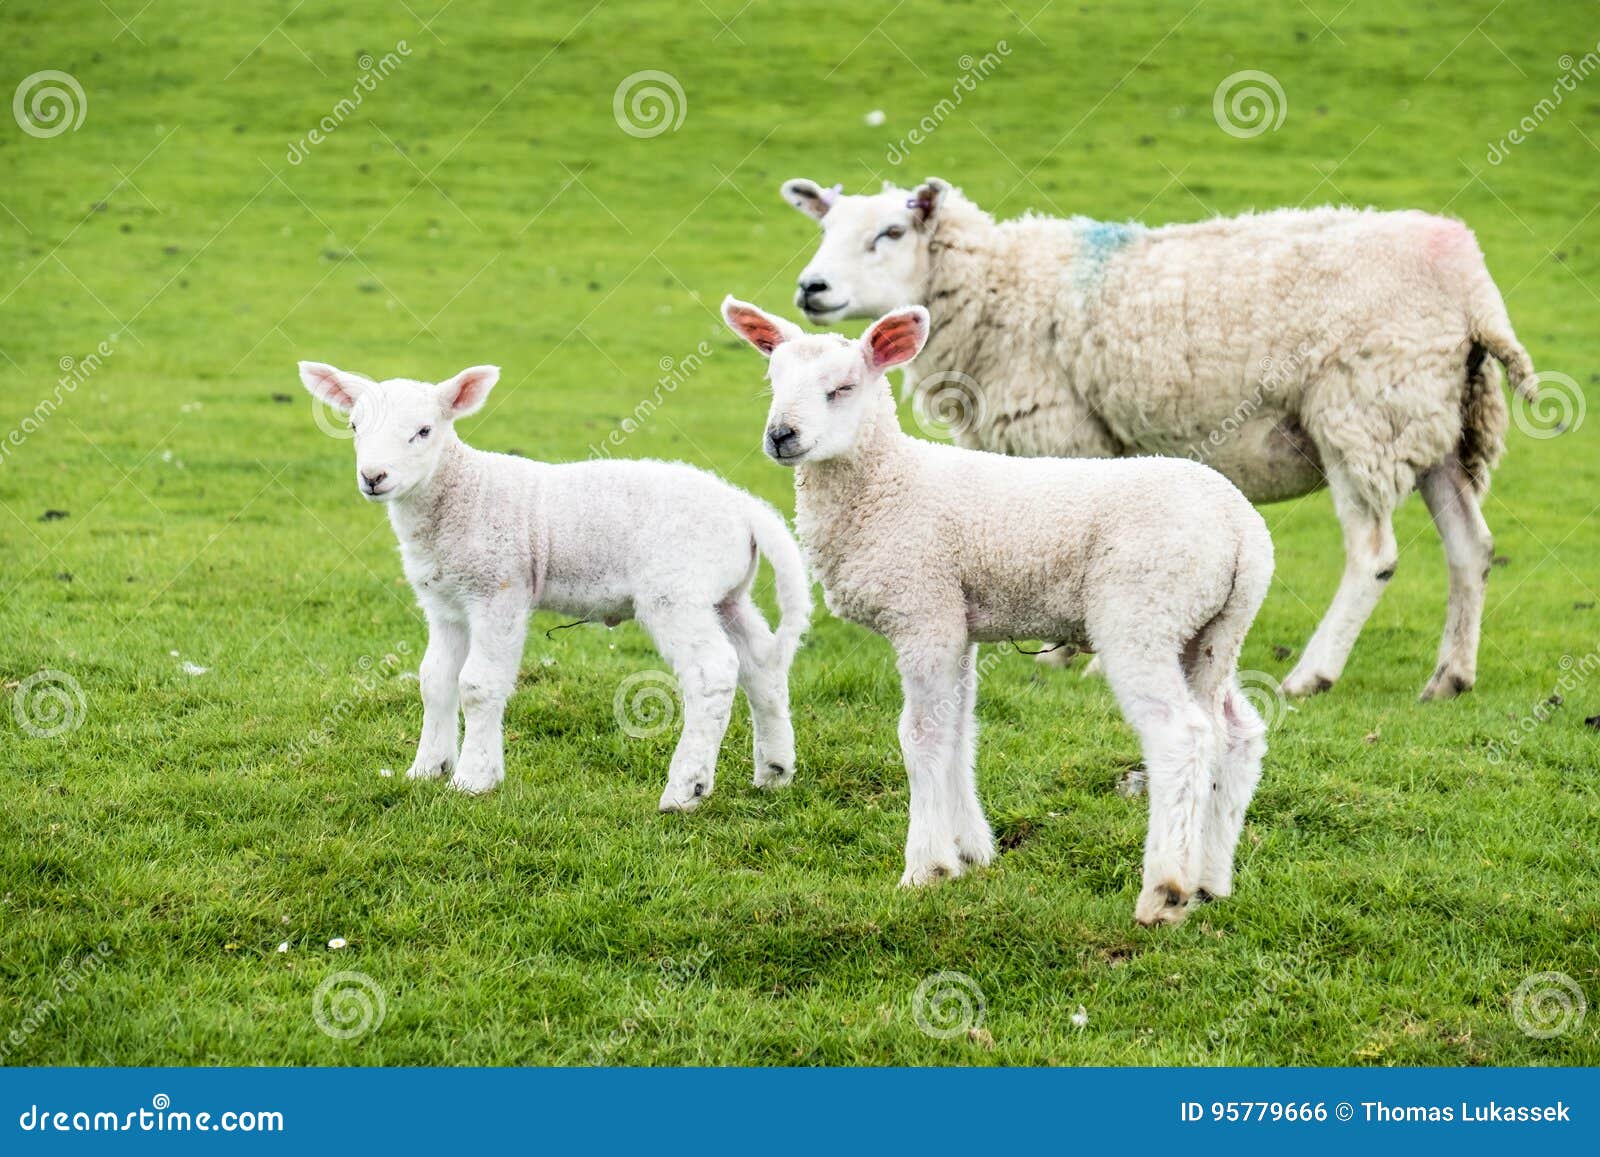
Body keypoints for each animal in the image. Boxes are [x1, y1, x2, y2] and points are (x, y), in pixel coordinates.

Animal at [297, 360, 810, 811]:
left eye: (423, 431)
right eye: (354, 427)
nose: (373, 477)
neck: (463, 492)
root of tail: (746, 508)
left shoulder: (499, 588)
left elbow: (477, 684)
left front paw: (473, 779)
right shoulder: (444, 602)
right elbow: (434, 680)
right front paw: (427, 769)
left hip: (676, 590)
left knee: (713, 672)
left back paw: (687, 789)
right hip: (725, 595)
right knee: (761, 665)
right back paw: (775, 771)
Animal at [721, 297, 1274, 926]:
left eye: (842, 388)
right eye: (773, 382)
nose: (781, 436)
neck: (889, 483)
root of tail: (1241, 528)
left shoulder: (923, 609)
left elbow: (922, 734)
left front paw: (926, 868)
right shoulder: (956, 622)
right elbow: (960, 730)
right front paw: (970, 851)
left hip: (1143, 611)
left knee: (1180, 735)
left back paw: (1165, 891)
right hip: (1211, 629)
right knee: (1235, 732)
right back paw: (1211, 880)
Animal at [778, 176, 1537, 701]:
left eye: (890, 233)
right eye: (826, 226)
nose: (811, 287)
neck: (997, 288)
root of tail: (1468, 279)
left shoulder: (1061, 430)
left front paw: (1061, 655)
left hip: (1361, 412)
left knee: (1374, 555)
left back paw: (1312, 675)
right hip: (1431, 420)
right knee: (1471, 548)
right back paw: (1450, 676)